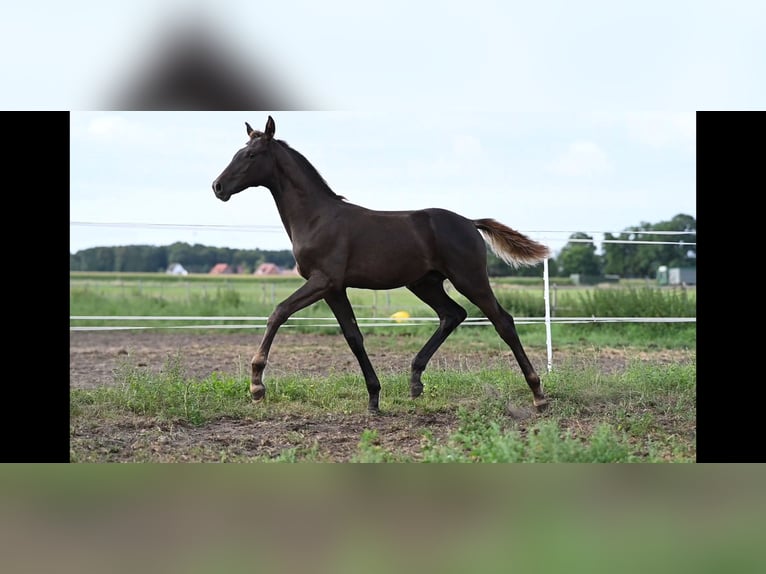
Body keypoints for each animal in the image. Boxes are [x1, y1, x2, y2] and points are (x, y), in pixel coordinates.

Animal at [212, 116, 550, 413]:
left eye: (251, 154)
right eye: (238, 152)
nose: (218, 187)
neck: (317, 217)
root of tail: (469, 222)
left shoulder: (323, 280)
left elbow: (278, 312)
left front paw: (257, 386)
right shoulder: (334, 288)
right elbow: (353, 336)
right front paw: (374, 398)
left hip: (469, 278)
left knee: (502, 321)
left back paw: (538, 396)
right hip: (424, 282)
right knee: (452, 314)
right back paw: (415, 380)